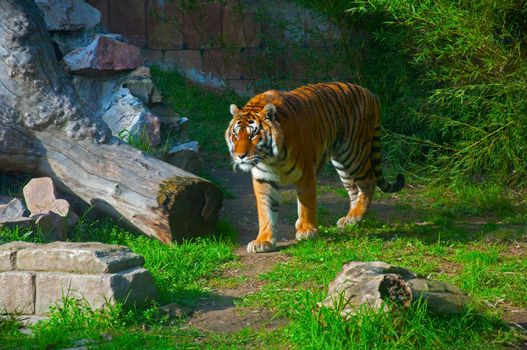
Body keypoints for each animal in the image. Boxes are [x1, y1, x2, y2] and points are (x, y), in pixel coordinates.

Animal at [224, 81, 404, 253]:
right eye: (236, 134)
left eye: (253, 134)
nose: (240, 156)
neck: (270, 158)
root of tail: (370, 94)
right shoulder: (263, 179)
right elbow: (266, 211)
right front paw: (263, 241)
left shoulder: (305, 174)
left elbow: (306, 204)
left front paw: (307, 231)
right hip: (342, 164)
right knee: (354, 189)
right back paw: (351, 219)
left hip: (352, 153)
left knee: (368, 182)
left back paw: (355, 216)